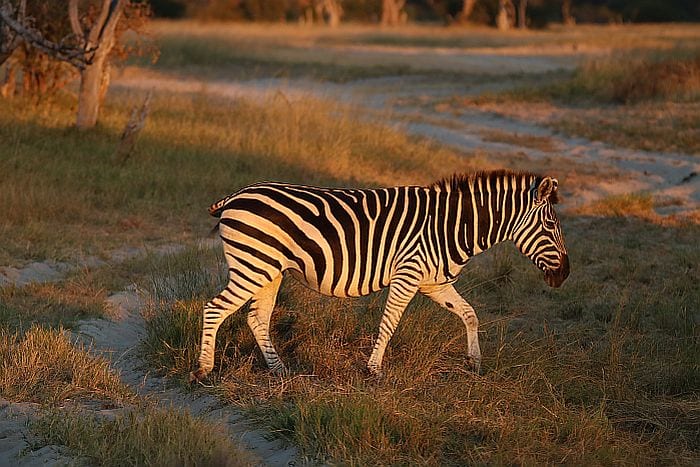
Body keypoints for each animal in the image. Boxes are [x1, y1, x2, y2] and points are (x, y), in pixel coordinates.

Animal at [189, 170, 569, 382]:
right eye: (551, 225)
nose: (564, 275)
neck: (450, 227)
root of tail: (236, 195)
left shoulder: (434, 282)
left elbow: (470, 314)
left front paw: (474, 362)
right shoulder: (408, 274)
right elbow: (389, 324)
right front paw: (374, 371)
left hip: (268, 270)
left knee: (257, 318)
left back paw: (279, 370)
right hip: (252, 265)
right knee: (215, 309)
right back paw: (204, 370)